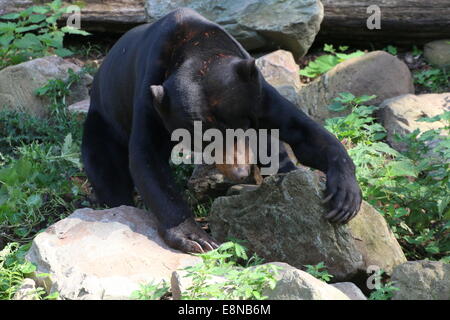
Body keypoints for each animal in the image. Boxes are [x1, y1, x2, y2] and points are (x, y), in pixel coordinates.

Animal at [81, 6, 362, 252]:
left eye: (244, 127)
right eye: (204, 140)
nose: (239, 172)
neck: (197, 47)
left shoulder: (259, 96)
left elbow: (303, 131)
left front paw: (344, 198)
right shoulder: (149, 96)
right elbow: (146, 158)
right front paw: (197, 238)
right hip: (102, 120)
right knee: (105, 168)